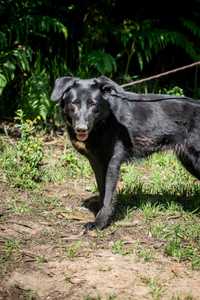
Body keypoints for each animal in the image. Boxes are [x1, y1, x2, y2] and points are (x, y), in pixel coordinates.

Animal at [51, 75, 200, 230]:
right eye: (74, 103)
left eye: (93, 104)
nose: (81, 129)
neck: (105, 120)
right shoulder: (97, 163)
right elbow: (103, 191)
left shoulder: (112, 163)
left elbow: (108, 195)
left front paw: (100, 222)